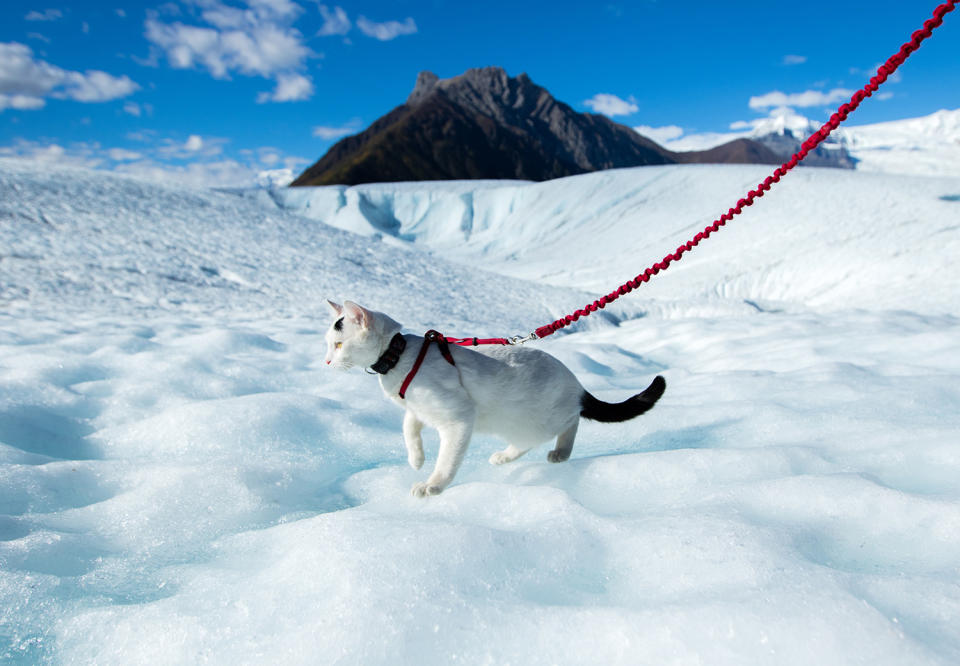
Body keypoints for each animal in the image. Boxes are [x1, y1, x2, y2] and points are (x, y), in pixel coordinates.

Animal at [326, 298, 664, 496]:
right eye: (329, 344)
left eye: (338, 344)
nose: (327, 362)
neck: (398, 358)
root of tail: (576, 382)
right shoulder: (419, 409)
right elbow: (408, 427)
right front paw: (416, 459)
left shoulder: (458, 418)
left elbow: (447, 460)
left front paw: (433, 484)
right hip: (516, 424)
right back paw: (503, 456)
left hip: (539, 419)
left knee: (571, 421)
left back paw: (560, 452)